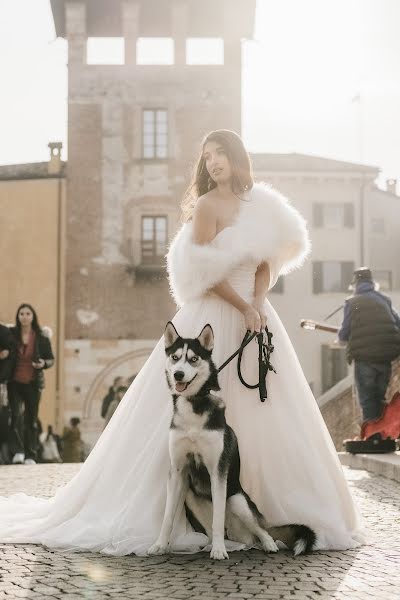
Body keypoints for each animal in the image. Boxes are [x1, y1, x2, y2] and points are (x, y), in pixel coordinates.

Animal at [147, 322, 316, 560]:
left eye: (193, 359)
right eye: (175, 357)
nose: (179, 374)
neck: (194, 407)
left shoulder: (218, 471)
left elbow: (218, 518)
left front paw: (219, 551)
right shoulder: (177, 471)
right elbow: (168, 517)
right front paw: (160, 545)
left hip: (236, 500)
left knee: (259, 530)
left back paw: (264, 543)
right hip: (189, 494)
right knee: (218, 532)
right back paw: (213, 545)